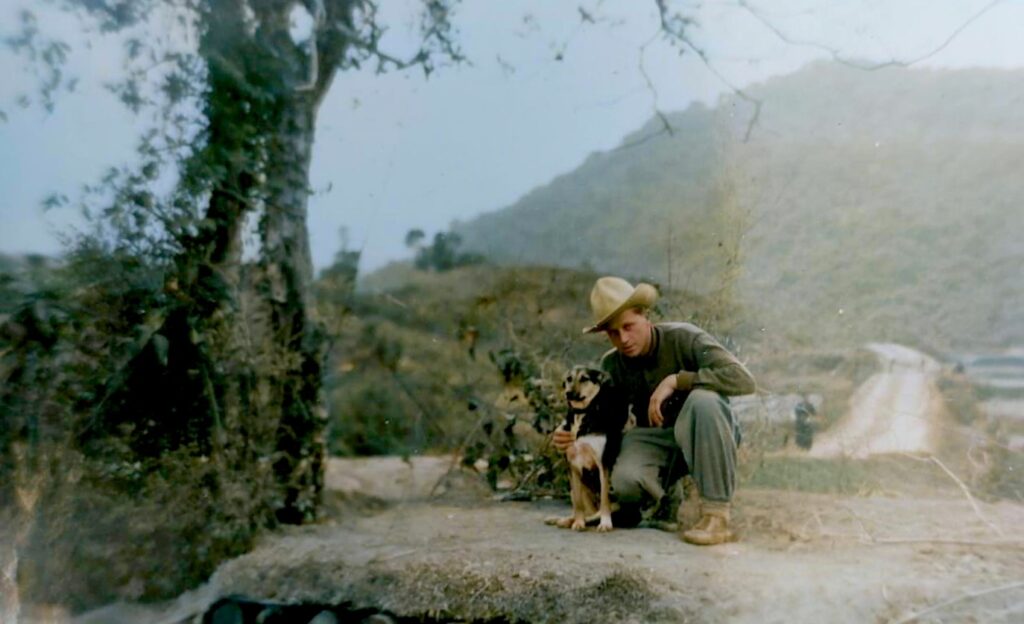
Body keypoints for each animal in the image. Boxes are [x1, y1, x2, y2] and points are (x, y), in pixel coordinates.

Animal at [546, 365, 629, 532]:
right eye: (569, 379)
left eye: (584, 378)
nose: (568, 393)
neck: (582, 414)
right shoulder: (573, 466)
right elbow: (578, 504)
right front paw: (578, 522)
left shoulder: (603, 464)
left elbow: (604, 498)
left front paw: (605, 523)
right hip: (575, 489)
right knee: (585, 510)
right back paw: (566, 520)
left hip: (617, 505)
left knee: (597, 513)